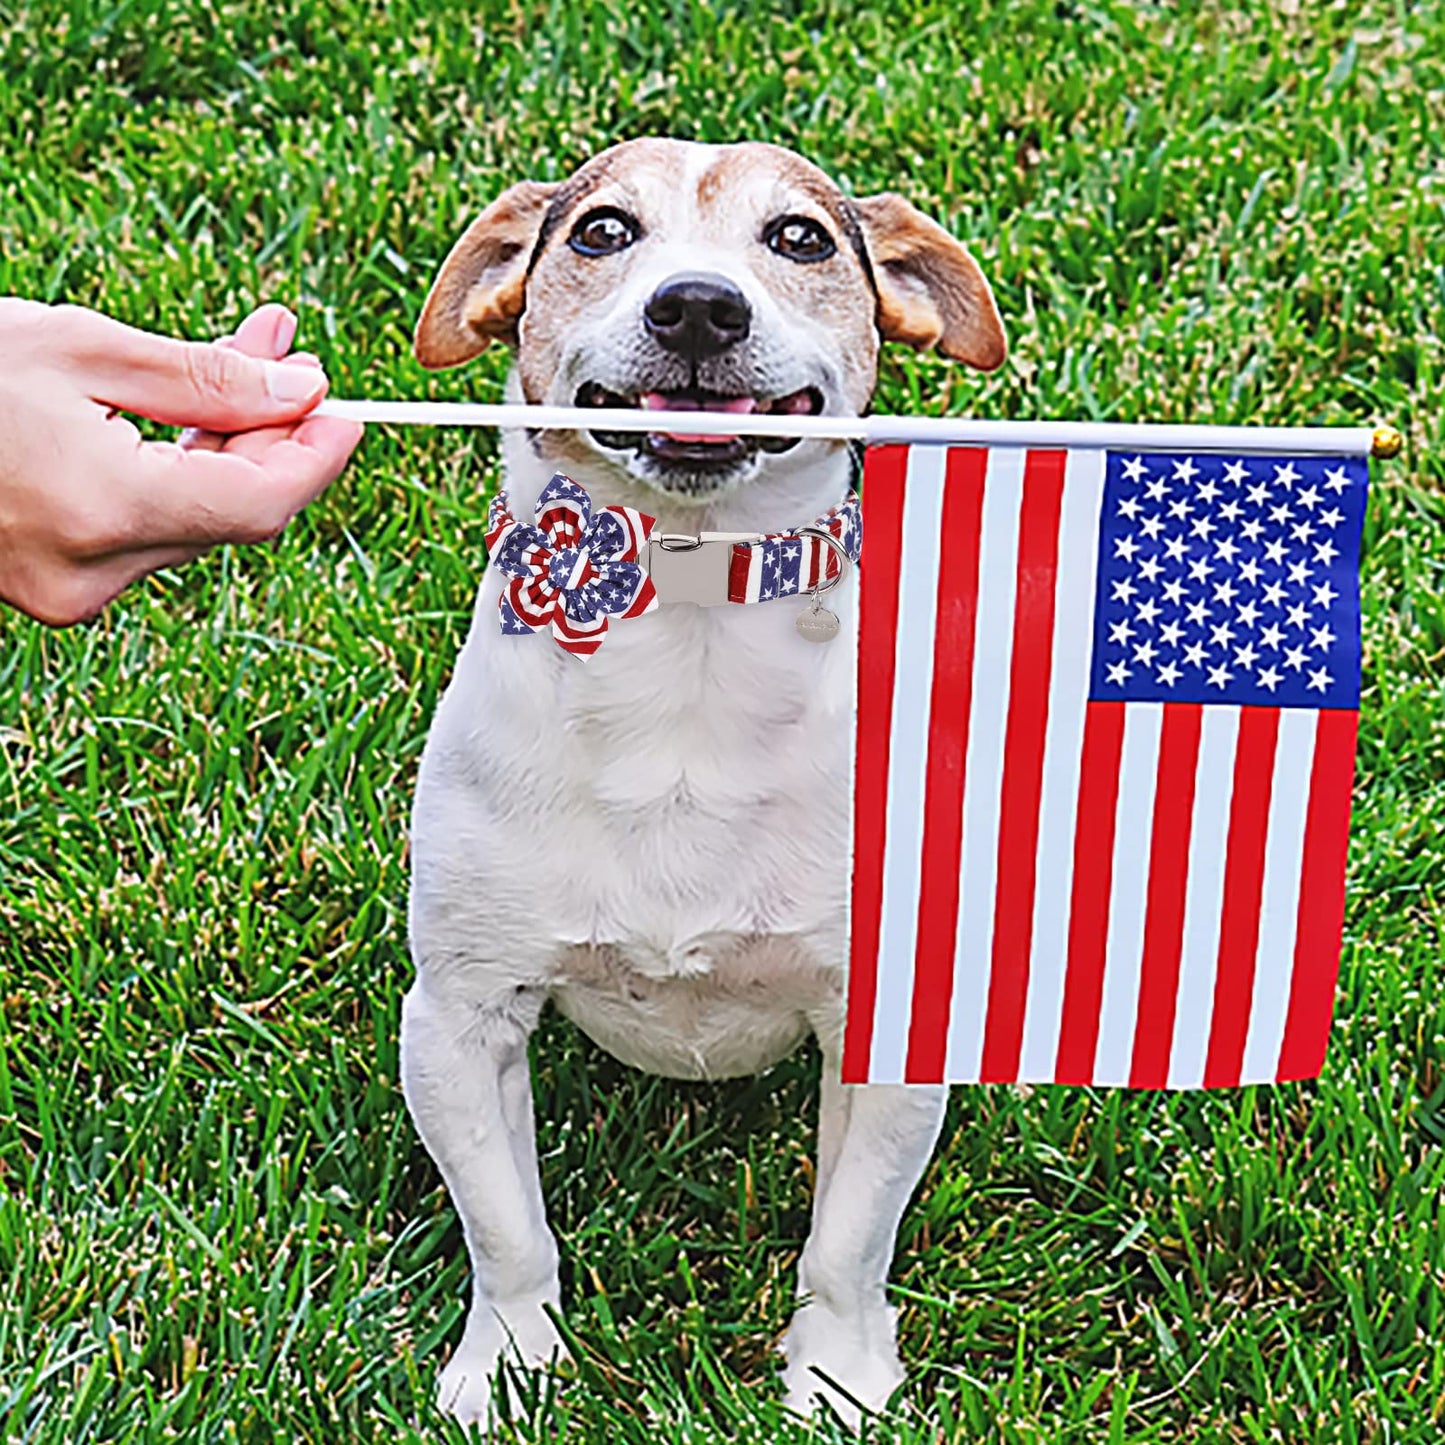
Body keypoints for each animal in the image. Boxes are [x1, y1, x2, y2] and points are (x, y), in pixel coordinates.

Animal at [398, 140, 1005, 1427]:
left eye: (798, 239)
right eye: (600, 230)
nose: (694, 305)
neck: (684, 623)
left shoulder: (874, 1031)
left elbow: (845, 1243)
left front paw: (834, 1376)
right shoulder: (458, 1017)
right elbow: (508, 1232)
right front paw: (509, 1366)